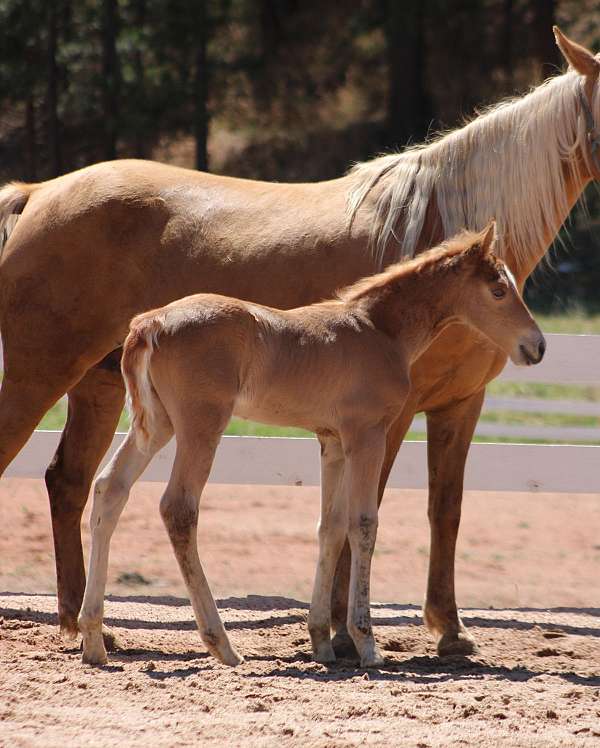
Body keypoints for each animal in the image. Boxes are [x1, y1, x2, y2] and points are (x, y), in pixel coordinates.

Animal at [77, 224, 545, 667]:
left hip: (156, 425)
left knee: (109, 489)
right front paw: (366, 643)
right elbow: (364, 524)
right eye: (498, 290)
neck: (379, 331)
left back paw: (93, 640)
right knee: (178, 507)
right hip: (201, 426)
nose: (537, 346)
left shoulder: (332, 441)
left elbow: (330, 528)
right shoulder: (366, 435)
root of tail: (150, 323)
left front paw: (321, 641)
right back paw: (222, 644)